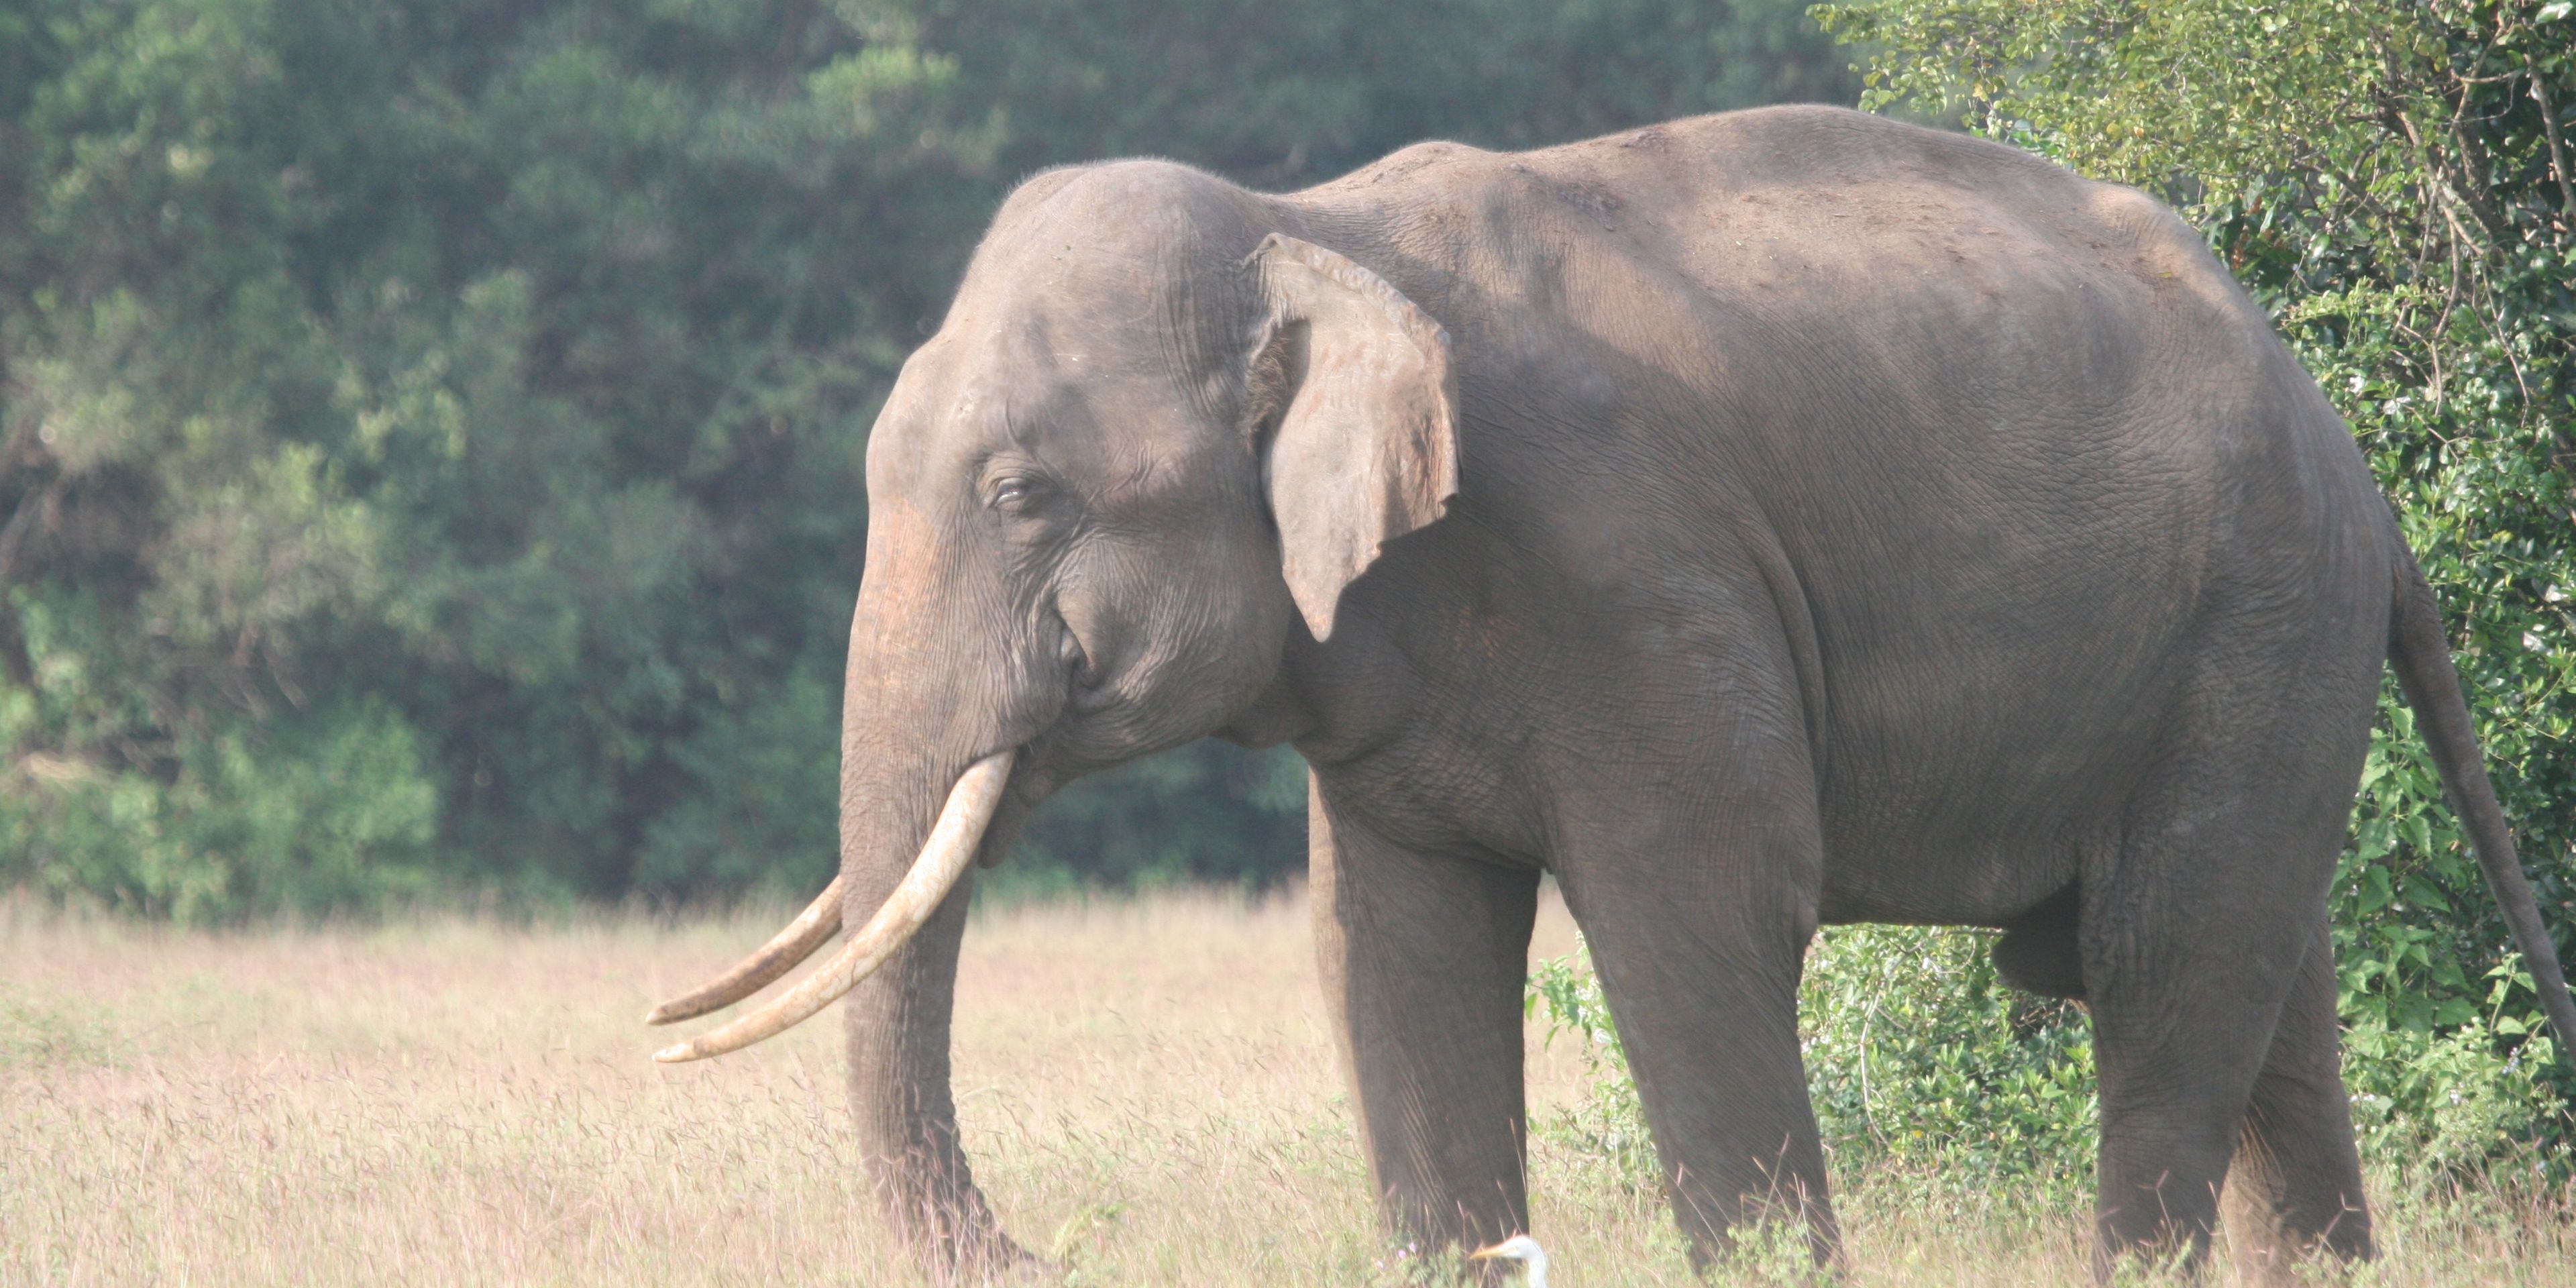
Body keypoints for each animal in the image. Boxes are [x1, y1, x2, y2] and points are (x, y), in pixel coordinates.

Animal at [640, 104, 2576, 1280]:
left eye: (1023, 495)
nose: (1052, 1249)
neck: (1309, 224)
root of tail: (2357, 469)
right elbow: (1391, 948)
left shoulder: (1640, 581)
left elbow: (1698, 918)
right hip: (2253, 655)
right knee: (2265, 979)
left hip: (2254, 620)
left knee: (2164, 966)